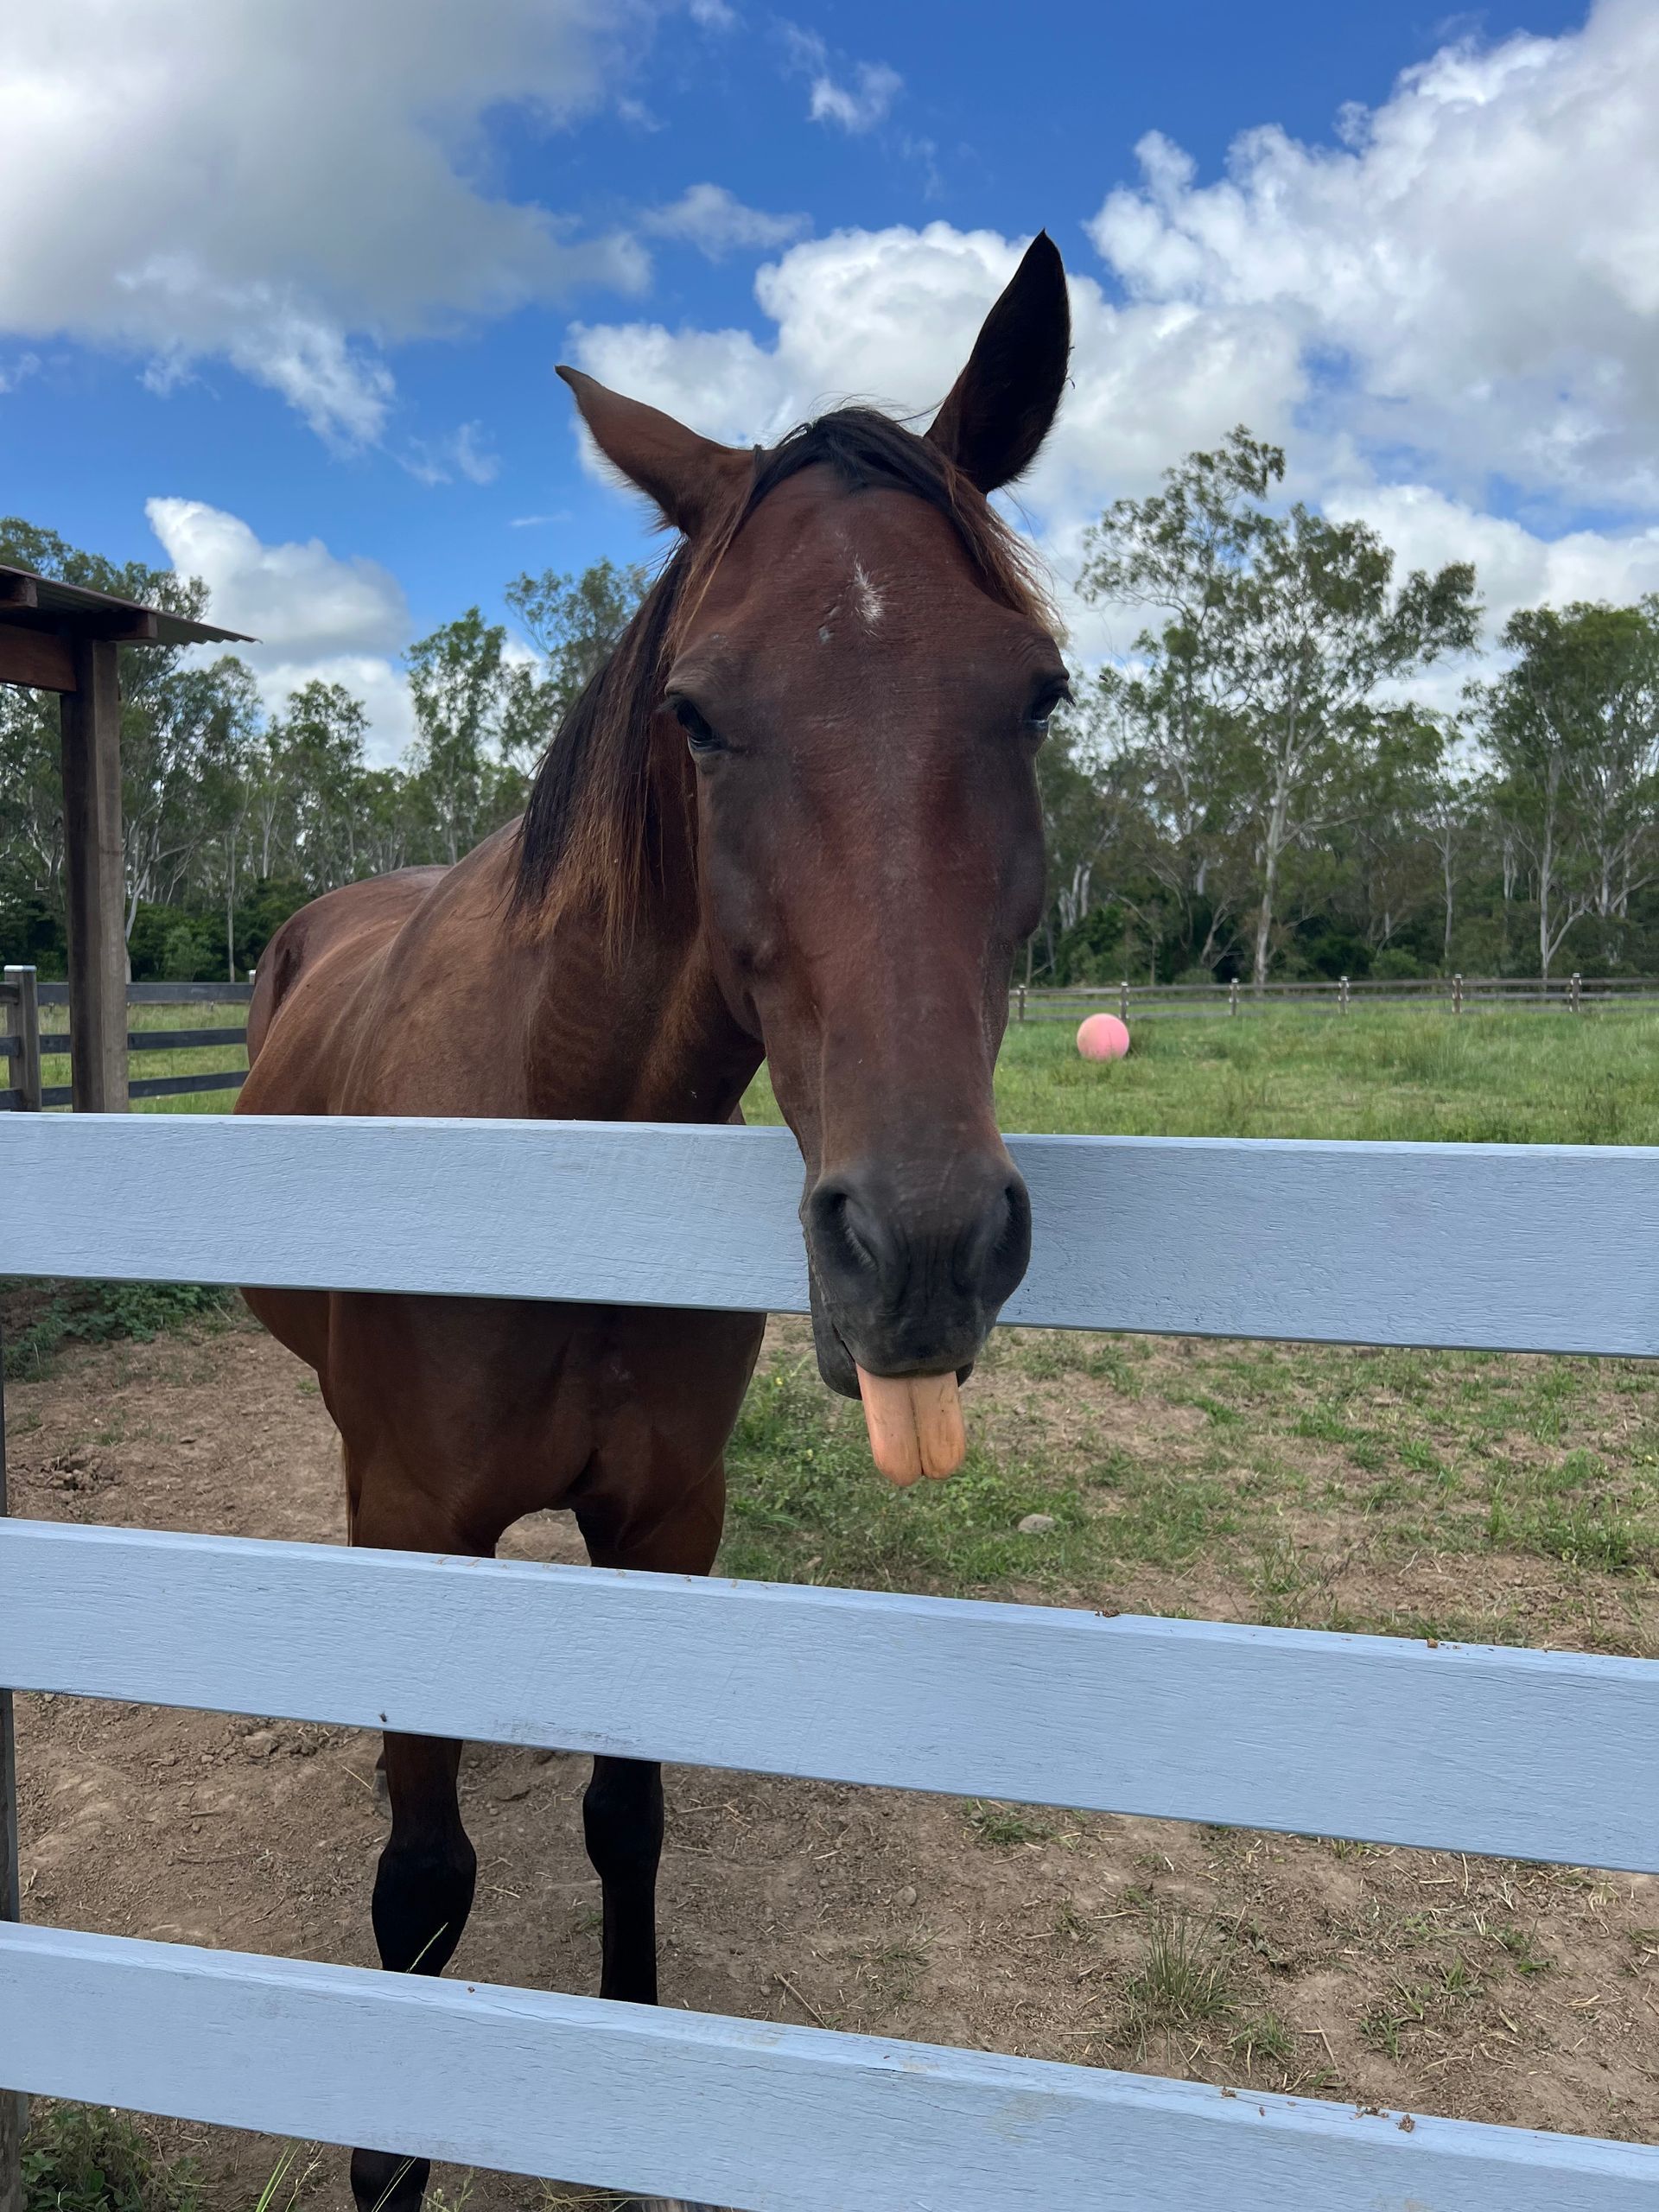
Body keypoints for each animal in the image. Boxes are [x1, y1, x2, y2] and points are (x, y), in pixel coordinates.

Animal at [236, 230, 1071, 2212]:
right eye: (696, 710)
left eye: (1038, 693)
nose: (922, 1249)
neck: (557, 1146)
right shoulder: (412, 1519)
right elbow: (421, 1880)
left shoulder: (666, 1521)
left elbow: (631, 1813)